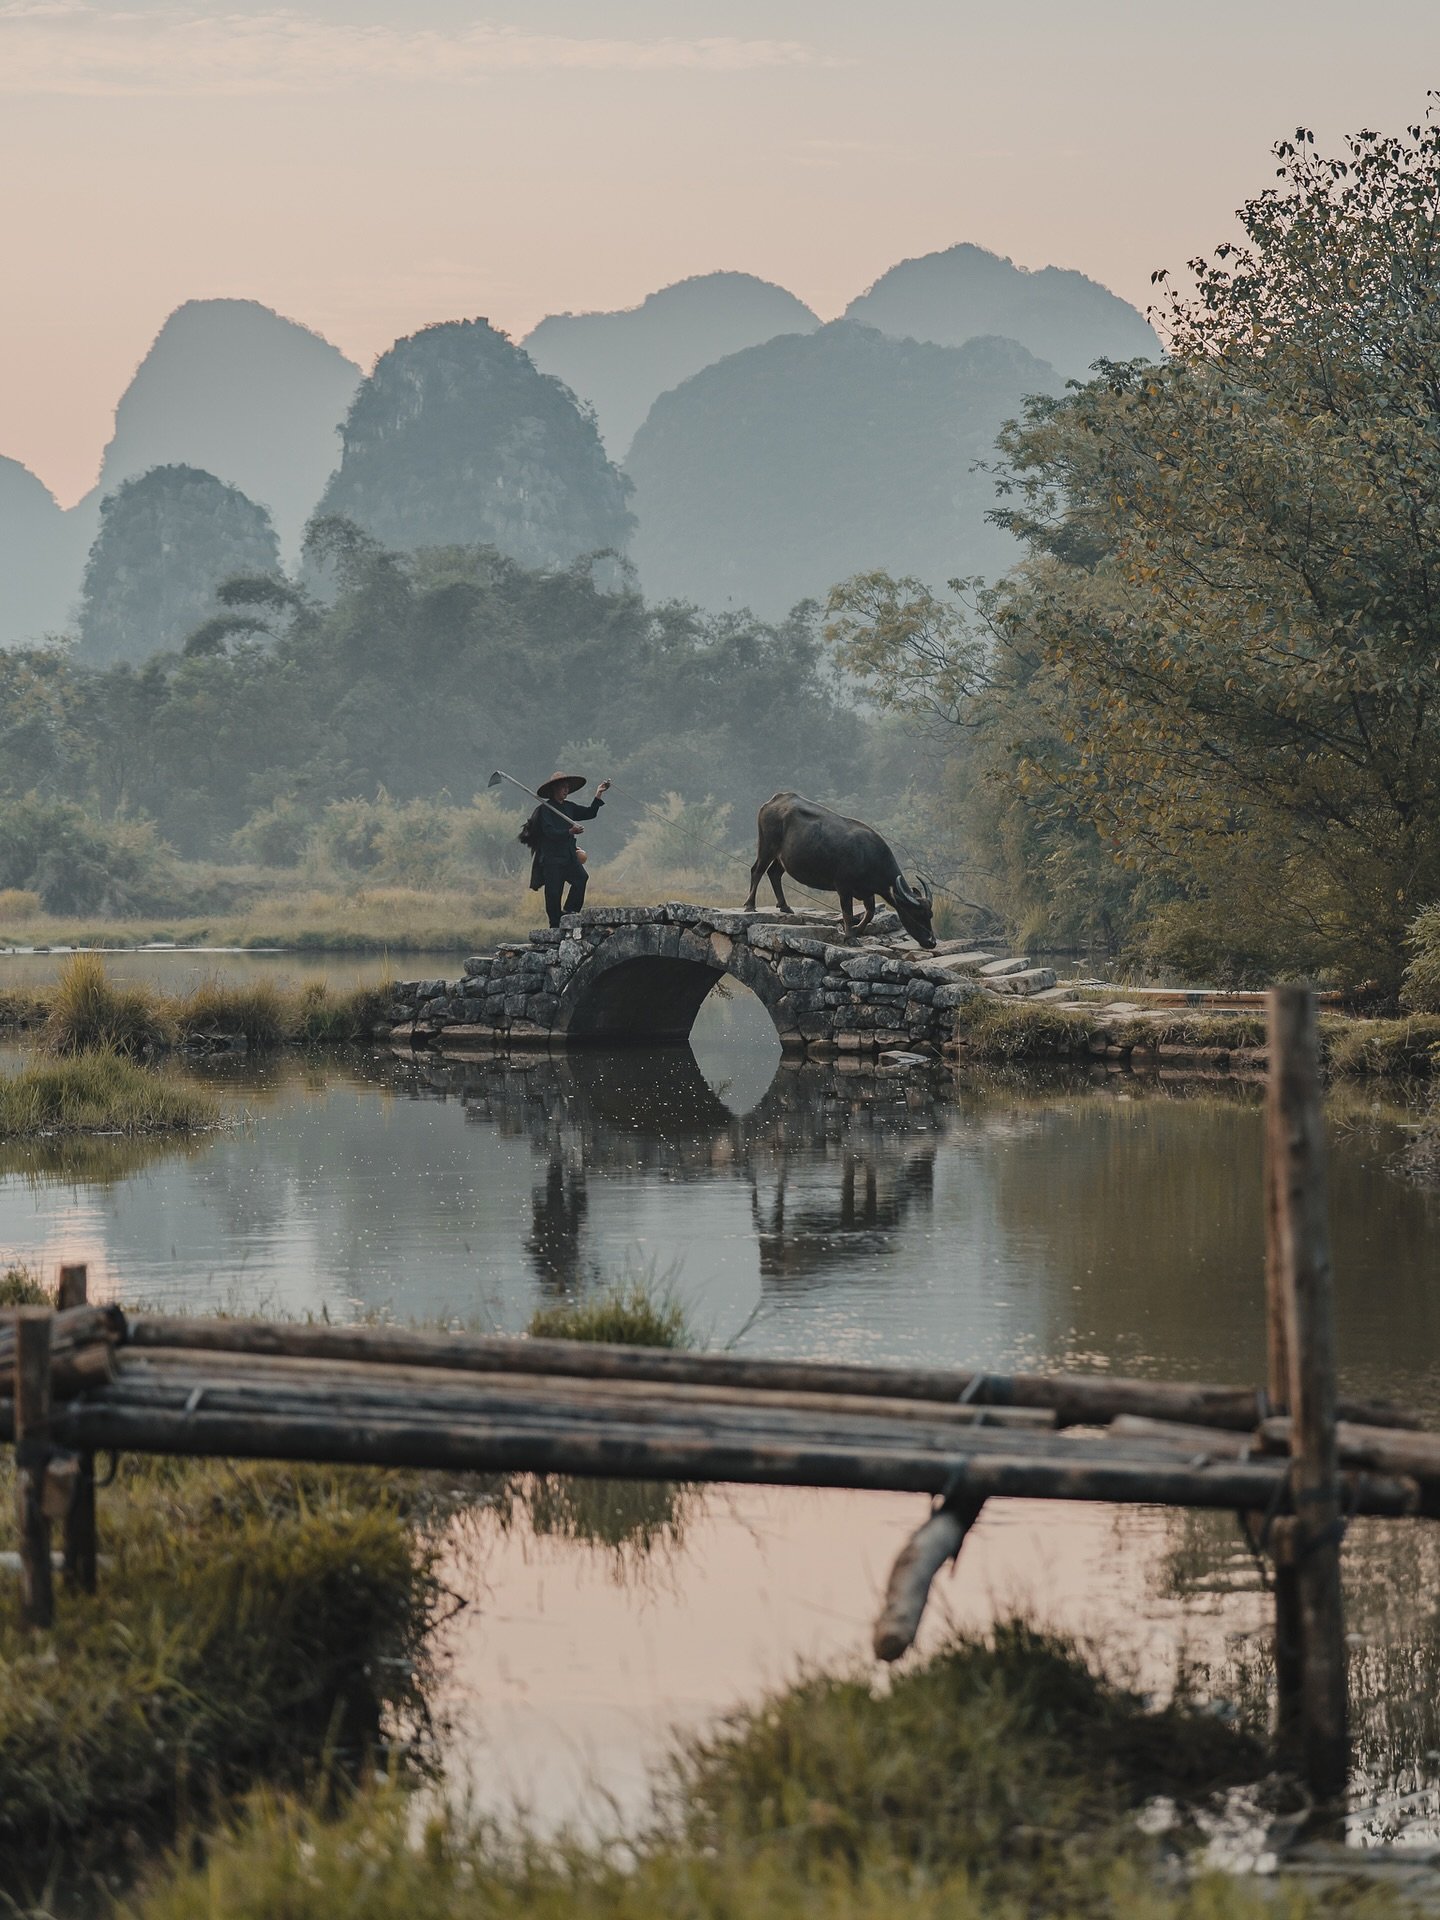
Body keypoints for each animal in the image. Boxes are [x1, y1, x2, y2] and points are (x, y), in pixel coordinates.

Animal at [742, 791, 936, 947]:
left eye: (930, 914)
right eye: (916, 914)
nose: (931, 942)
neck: (869, 856)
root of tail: (774, 800)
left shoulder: (867, 891)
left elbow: (870, 912)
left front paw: (857, 930)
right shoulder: (843, 887)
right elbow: (848, 912)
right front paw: (851, 937)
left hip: (782, 858)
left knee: (773, 873)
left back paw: (784, 906)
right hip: (767, 846)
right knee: (757, 870)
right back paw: (750, 905)